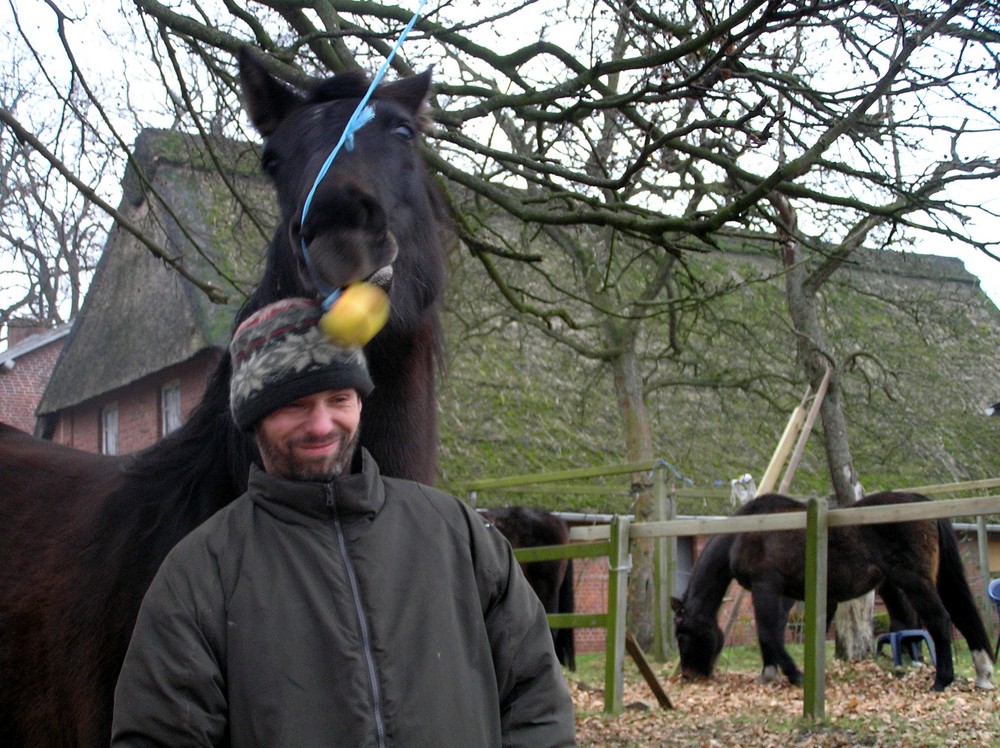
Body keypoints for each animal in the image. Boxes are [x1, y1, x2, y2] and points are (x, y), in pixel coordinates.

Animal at [668, 494, 996, 692]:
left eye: (682, 635)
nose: (689, 675)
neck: (747, 532)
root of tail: (921, 501)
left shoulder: (765, 586)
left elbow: (767, 633)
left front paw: (794, 675)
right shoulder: (785, 596)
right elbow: (774, 632)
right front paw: (770, 672)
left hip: (915, 582)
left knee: (940, 621)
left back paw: (942, 680)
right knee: (961, 617)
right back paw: (983, 673)